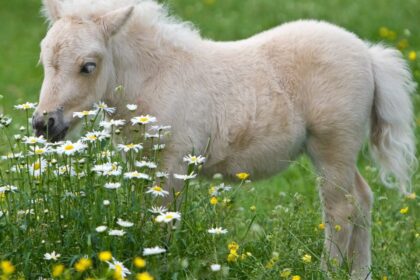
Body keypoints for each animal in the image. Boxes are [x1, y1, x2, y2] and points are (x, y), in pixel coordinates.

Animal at [31, 0, 416, 278]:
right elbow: (144, 213)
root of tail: (368, 54)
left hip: (332, 145)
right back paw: (361, 273)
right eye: (44, 58)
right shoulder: (141, 163)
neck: (157, 77)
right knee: (362, 199)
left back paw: (328, 272)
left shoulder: (173, 162)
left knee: (340, 209)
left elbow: (164, 219)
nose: (44, 123)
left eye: (89, 65)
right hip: (340, 152)